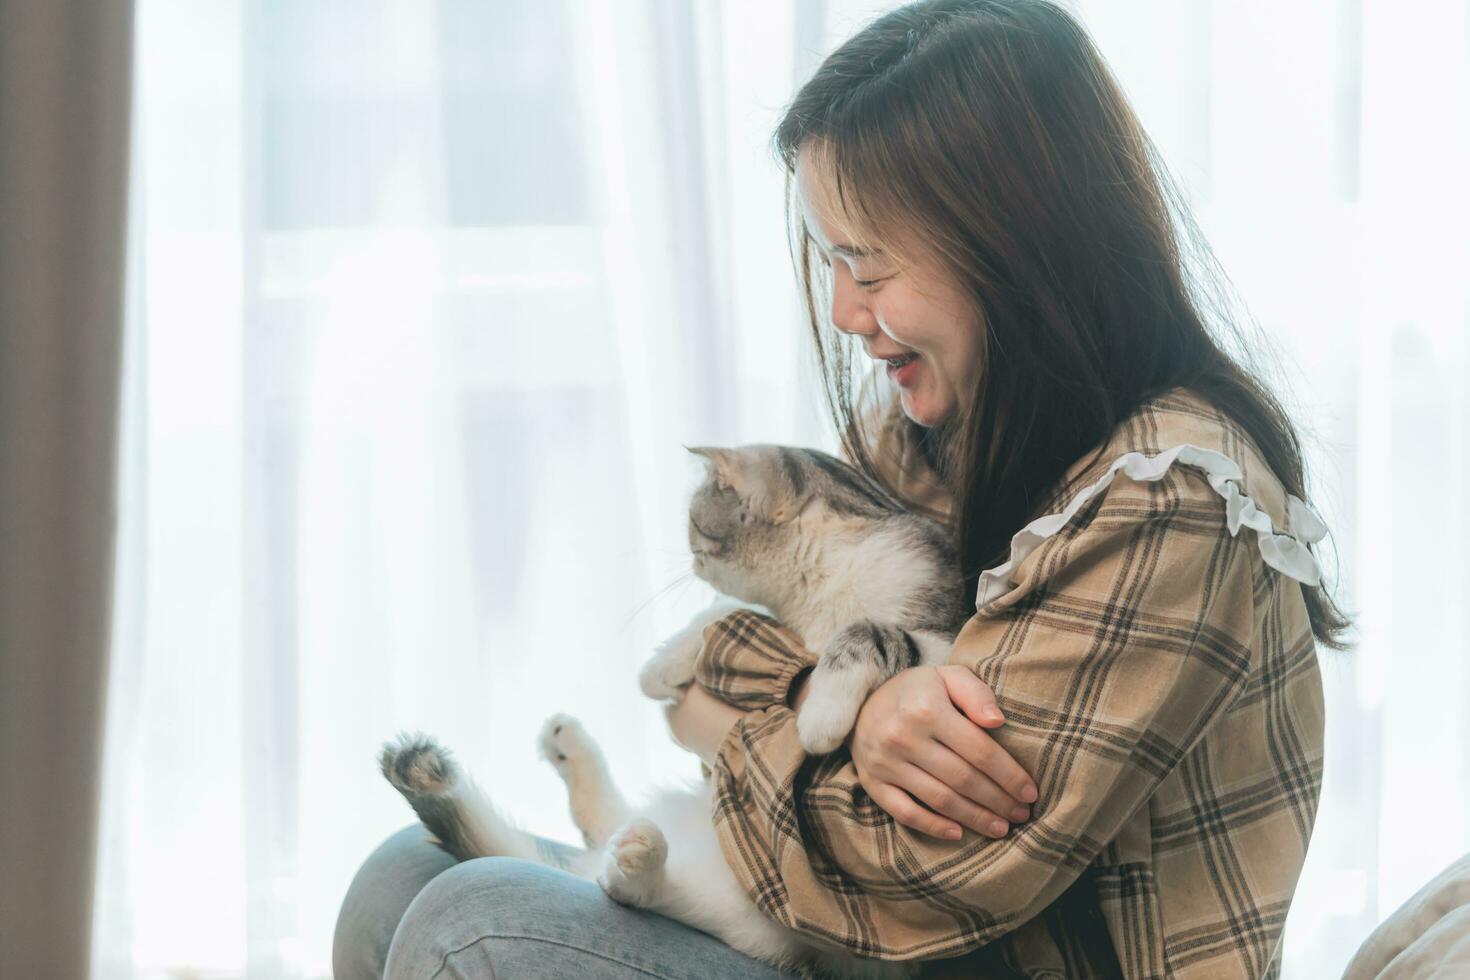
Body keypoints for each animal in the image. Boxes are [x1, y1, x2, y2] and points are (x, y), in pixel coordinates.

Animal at [385, 446, 970, 980]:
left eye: (694, 523)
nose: (690, 559)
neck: (820, 591)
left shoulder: (942, 642)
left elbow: (868, 632)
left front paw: (821, 715)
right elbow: (729, 611)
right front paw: (660, 668)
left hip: (766, 920)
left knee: (642, 891)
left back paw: (638, 861)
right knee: (607, 836)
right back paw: (569, 751)